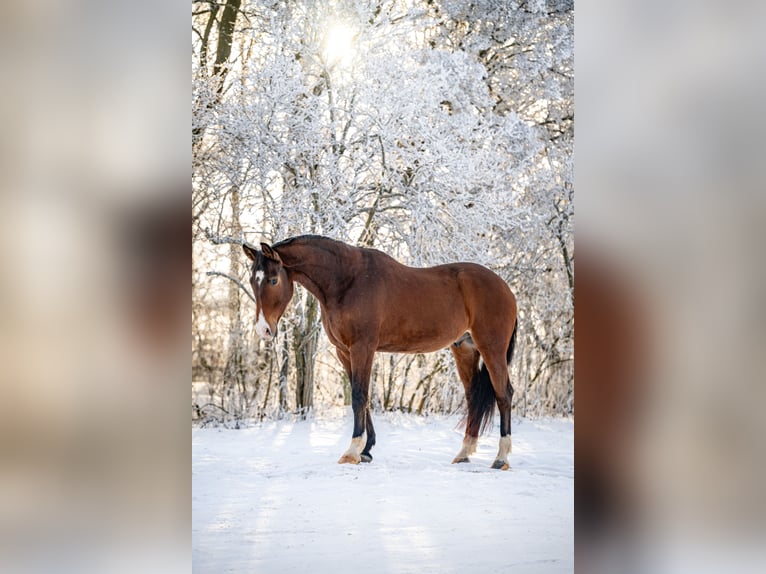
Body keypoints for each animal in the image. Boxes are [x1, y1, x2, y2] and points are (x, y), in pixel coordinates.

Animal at [243, 235, 518, 469]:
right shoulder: (344, 351)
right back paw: (463, 453)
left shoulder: (362, 347)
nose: (263, 330)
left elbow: (358, 396)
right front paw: (366, 450)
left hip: (492, 348)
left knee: (503, 394)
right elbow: (362, 398)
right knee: (473, 398)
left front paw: (352, 451)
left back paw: (501, 458)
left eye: (273, 280)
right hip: (465, 349)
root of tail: (505, 288)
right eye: (252, 281)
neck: (346, 280)